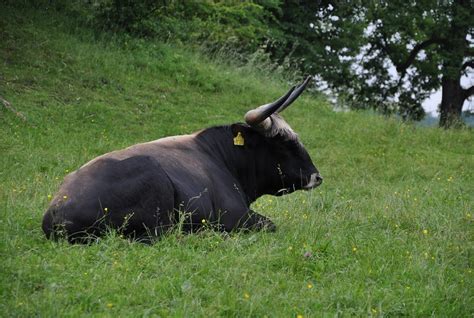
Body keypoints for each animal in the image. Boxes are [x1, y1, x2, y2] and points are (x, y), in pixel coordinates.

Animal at [42, 77, 322, 243]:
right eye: (282, 143)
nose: (316, 176)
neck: (221, 158)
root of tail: (56, 212)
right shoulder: (234, 216)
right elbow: (270, 224)